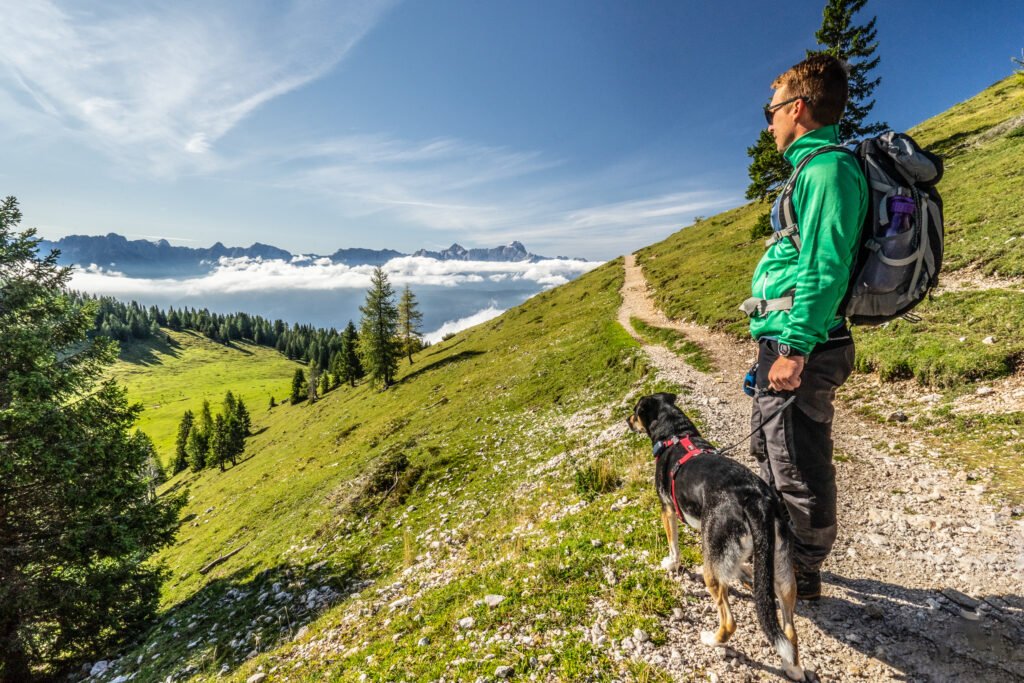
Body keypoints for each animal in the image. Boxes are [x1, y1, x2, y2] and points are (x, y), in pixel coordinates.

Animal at [626, 393, 802, 679]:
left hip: (713, 563)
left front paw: (670, 564)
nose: (627, 420)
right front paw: (744, 573)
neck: (675, 434)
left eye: (635, 411)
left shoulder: (667, 509)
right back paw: (793, 667)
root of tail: (756, 500)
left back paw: (711, 639)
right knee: (788, 630)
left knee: (729, 621)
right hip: (783, 567)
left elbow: (673, 544)